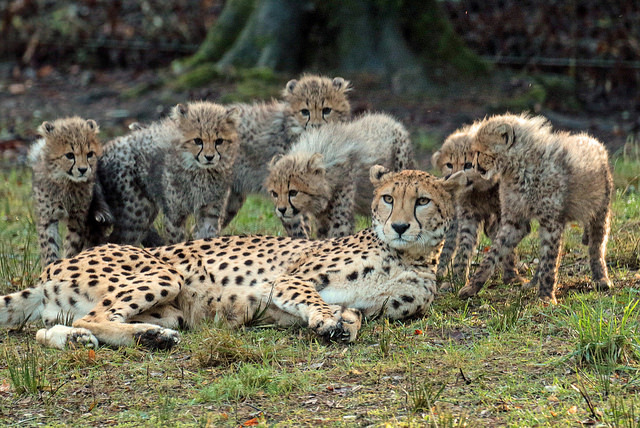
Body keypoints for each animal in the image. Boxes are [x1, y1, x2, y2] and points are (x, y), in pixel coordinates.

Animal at [0, 166, 460, 348]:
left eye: (421, 201)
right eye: (388, 198)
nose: (399, 225)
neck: (407, 256)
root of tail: (49, 271)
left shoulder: (373, 305)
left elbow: (354, 315)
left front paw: (340, 325)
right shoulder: (288, 279)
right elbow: (313, 297)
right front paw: (325, 320)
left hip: (170, 311)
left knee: (53, 329)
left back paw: (115, 339)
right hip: (164, 275)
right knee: (92, 317)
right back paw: (143, 338)